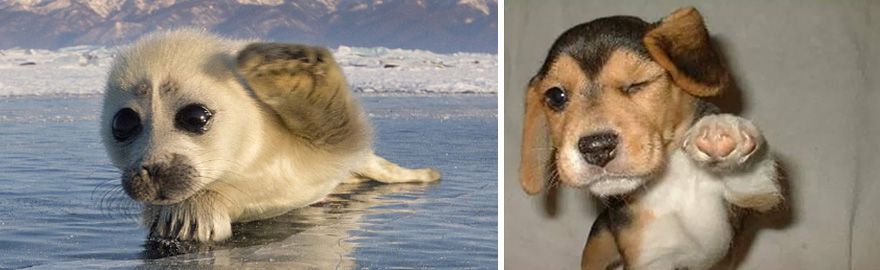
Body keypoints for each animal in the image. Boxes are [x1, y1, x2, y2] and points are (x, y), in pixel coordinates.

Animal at [520, 6, 780, 270]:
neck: (671, 180)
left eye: (637, 83)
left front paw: (721, 129)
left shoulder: (758, 195)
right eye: (556, 96)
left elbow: (754, 175)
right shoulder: (650, 259)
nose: (596, 148)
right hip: (597, 247)